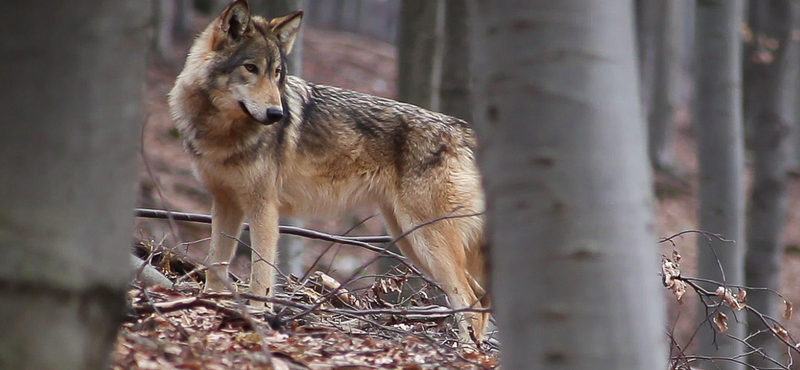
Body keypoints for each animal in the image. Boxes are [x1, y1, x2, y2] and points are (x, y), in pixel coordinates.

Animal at [169, 0, 488, 342]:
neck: (221, 131)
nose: (277, 113)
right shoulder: (225, 202)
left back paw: (466, 350)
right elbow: (216, 266)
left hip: (427, 240)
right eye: (251, 68)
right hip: (410, 240)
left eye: (277, 73)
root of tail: (464, 130)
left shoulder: (263, 208)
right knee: (481, 298)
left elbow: (261, 275)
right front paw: (208, 307)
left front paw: (257, 317)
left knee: (470, 301)